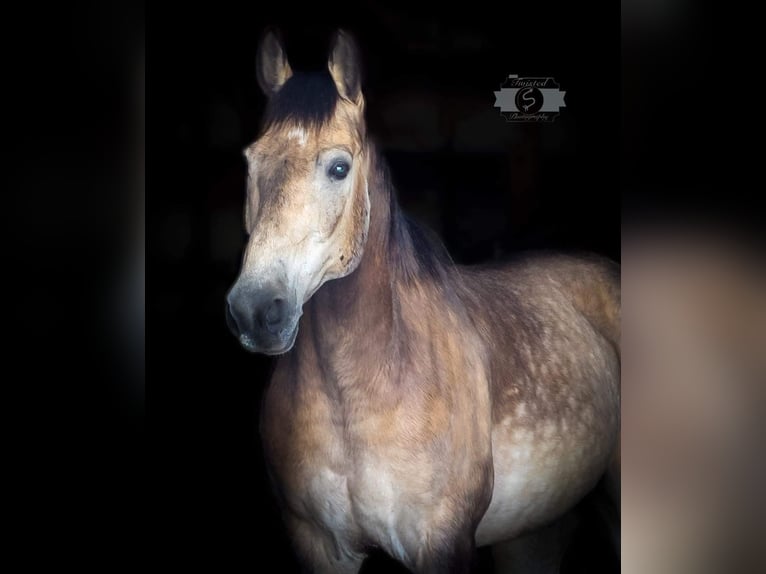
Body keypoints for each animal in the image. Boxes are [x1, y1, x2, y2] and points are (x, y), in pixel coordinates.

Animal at [225, 30, 620, 574]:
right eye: (250, 161)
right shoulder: (319, 544)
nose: (256, 310)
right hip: (533, 531)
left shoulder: (441, 542)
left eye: (339, 168)